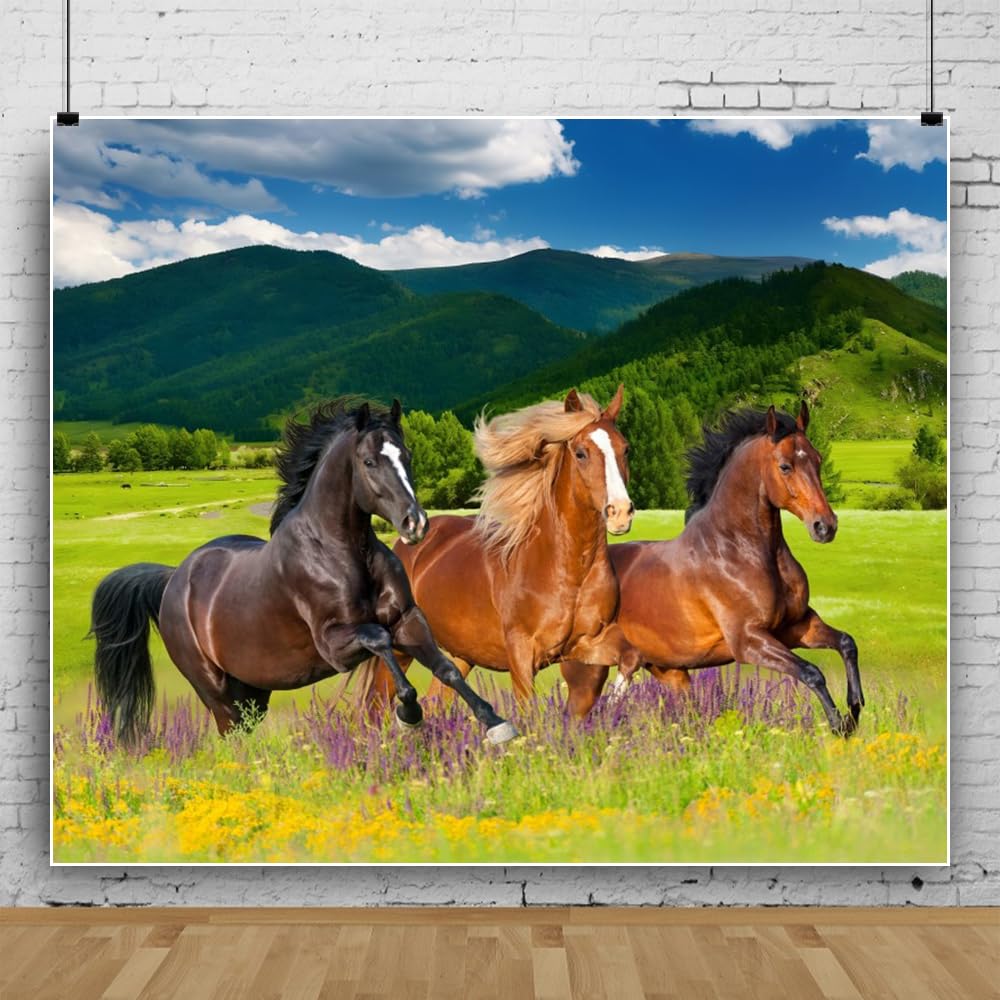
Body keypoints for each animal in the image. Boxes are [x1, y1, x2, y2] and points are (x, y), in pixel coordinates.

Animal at [90, 398, 516, 747]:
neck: (342, 553)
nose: (416, 524)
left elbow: (447, 669)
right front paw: (409, 715)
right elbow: (380, 640)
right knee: (231, 737)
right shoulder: (335, 644)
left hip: (253, 692)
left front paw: (497, 724)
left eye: (407, 455)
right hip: (216, 691)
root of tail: (172, 580)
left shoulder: (408, 620)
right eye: (369, 462)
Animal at [356, 386, 642, 716]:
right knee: (377, 704)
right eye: (581, 453)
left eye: (625, 449)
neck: (567, 569)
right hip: (403, 645)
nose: (620, 513)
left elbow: (629, 657)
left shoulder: (586, 642)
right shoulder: (521, 653)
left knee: (438, 699)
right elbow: (528, 710)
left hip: (459, 655)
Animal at [562, 402, 864, 735]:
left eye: (817, 459)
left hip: (666, 671)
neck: (738, 550)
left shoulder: (796, 626)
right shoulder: (749, 641)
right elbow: (812, 672)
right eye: (785, 466)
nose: (825, 526)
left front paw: (855, 708)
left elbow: (847, 643)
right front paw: (840, 725)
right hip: (588, 672)